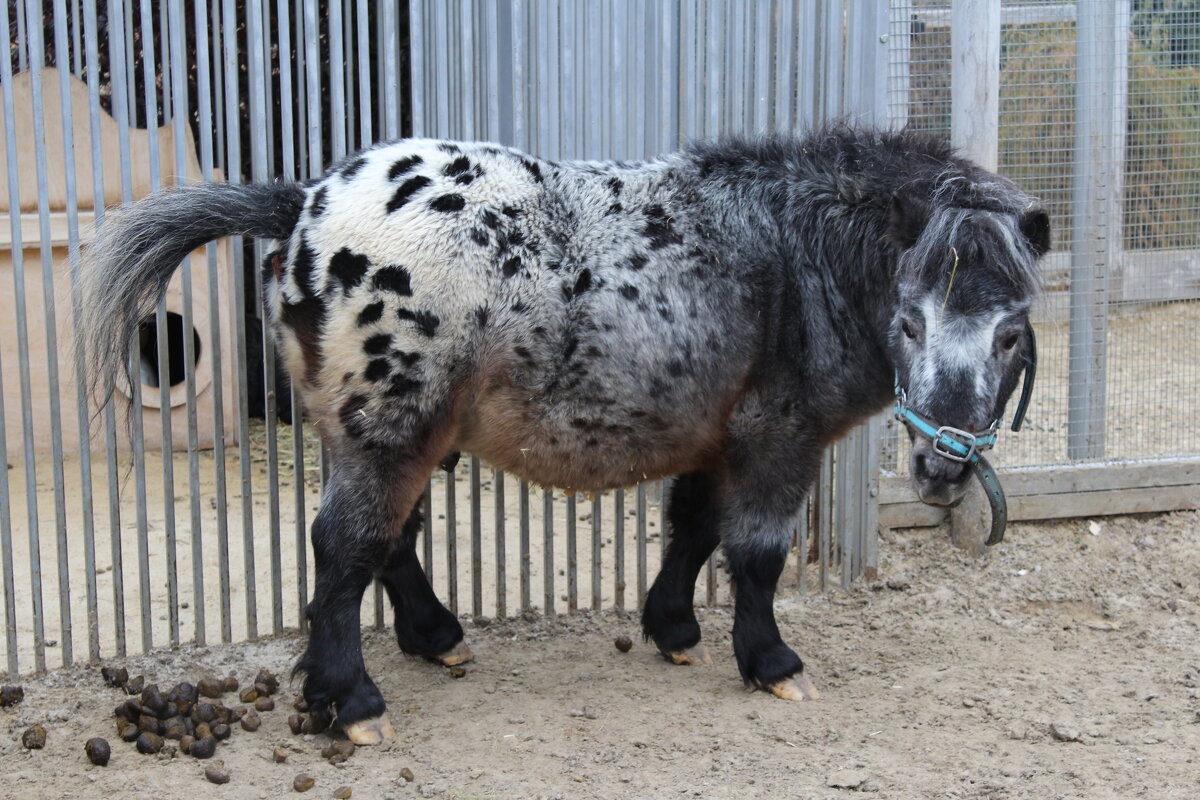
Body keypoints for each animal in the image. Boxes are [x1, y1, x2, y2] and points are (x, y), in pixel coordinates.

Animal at [79, 125, 1046, 743]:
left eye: (1010, 332)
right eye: (911, 323)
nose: (942, 469)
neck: (798, 253)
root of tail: (304, 204)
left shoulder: (714, 434)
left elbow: (692, 530)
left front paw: (674, 630)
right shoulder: (778, 439)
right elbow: (757, 555)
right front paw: (770, 661)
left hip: (397, 436)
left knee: (388, 542)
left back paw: (435, 639)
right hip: (390, 431)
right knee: (347, 547)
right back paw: (352, 702)